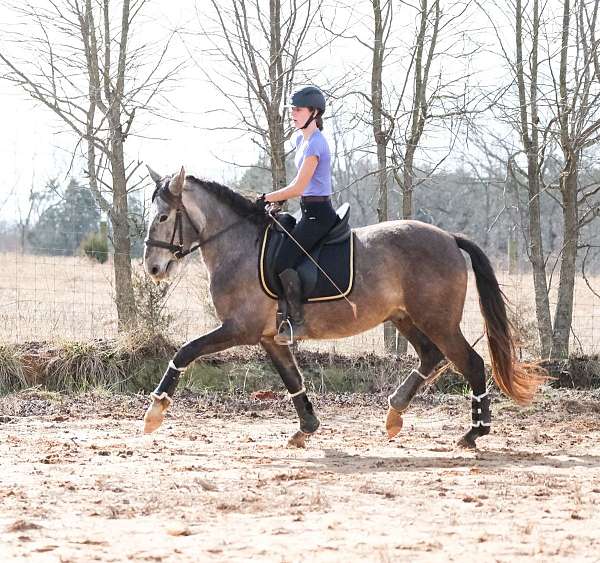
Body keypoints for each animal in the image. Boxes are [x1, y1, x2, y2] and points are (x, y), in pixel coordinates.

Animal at [143, 166, 548, 450]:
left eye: (163, 217)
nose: (153, 269)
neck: (238, 246)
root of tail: (449, 237)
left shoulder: (239, 328)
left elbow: (185, 351)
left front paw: (154, 412)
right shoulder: (269, 337)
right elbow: (293, 380)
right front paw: (306, 429)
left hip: (439, 321)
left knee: (471, 363)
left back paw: (473, 433)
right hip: (404, 317)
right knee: (431, 356)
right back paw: (394, 413)